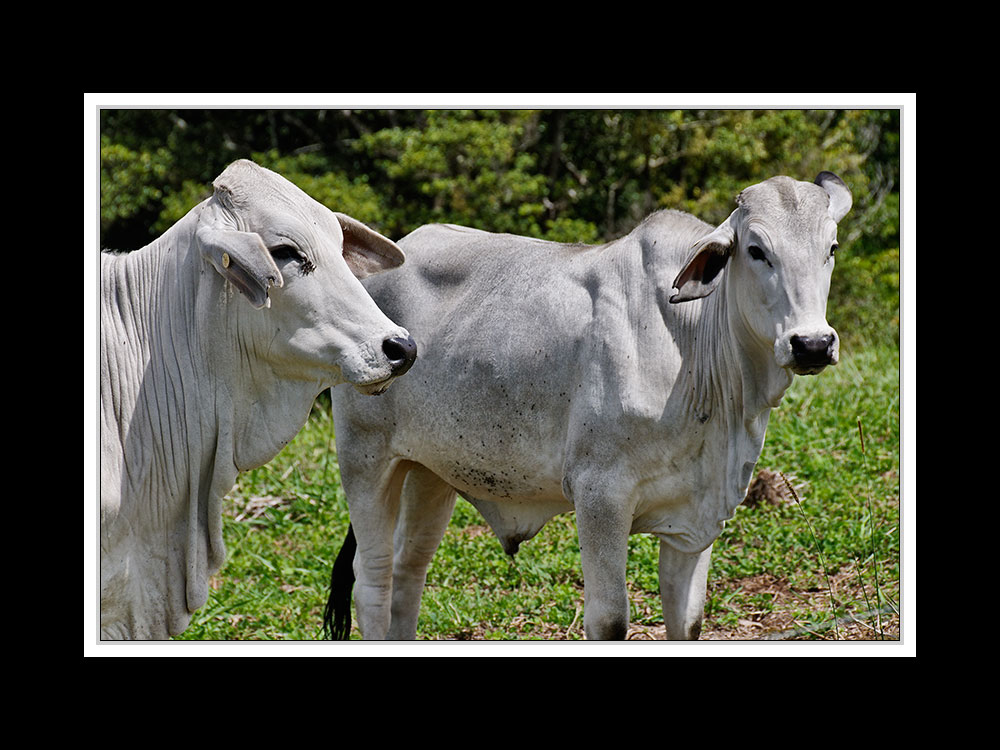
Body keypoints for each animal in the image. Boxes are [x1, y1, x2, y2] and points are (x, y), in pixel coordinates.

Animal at [326, 173, 852, 644]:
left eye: (831, 248)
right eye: (757, 250)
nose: (812, 344)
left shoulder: (696, 516)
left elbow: (687, 622)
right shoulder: (600, 496)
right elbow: (611, 621)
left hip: (430, 471)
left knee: (408, 572)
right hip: (364, 459)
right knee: (372, 583)